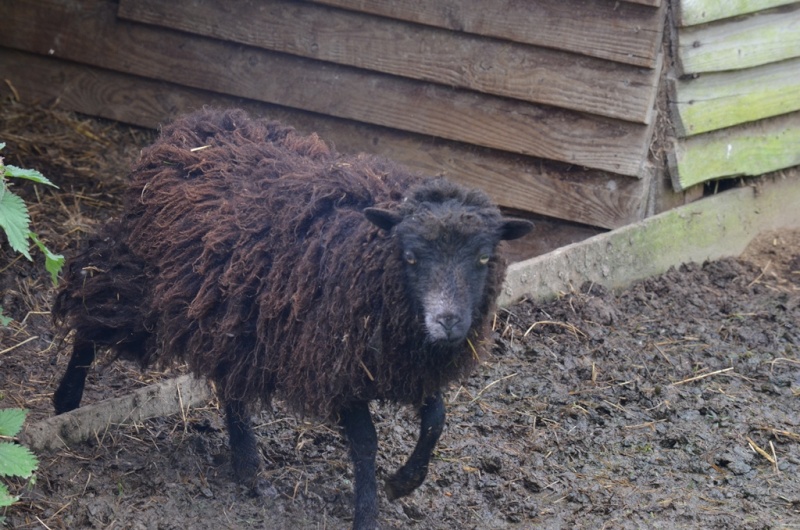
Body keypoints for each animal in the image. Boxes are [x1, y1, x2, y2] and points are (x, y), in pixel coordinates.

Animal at [51, 108, 532, 528]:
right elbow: (367, 443)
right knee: (91, 291)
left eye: (484, 257)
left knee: (229, 380)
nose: (448, 321)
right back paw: (66, 399)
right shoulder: (336, 364)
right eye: (411, 257)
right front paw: (368, 513)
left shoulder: (408, 364)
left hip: (231, 312)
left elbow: (436, 420)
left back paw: (247, 465)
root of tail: (190, 125)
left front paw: (404, 483)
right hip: (150, 286)